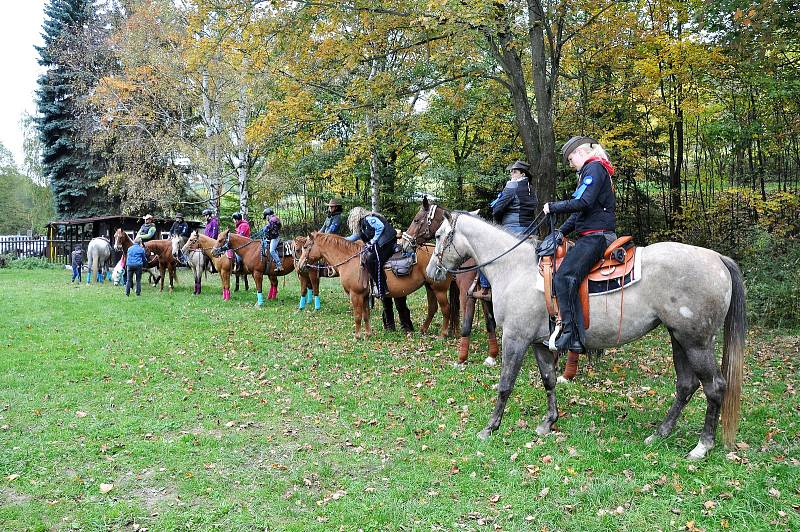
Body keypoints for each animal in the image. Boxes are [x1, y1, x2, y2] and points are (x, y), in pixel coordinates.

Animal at [296, 231, 454, 338]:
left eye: (306, 247)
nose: (300, 265)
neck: (350, 260)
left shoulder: (355, 295)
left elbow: (357, 315)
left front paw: (357, 336)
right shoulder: (365, 295)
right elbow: (366, 315)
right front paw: (368, 334)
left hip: (439, 289)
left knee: (446, 309)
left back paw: (443, 334)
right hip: (429, 287)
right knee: (432, 308)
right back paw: (423, 330)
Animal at [428, 210, 748, 460]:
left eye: (441, 234)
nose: (432, 271)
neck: (515, 269)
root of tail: (717, 259)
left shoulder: (516, 339)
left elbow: (505, 385)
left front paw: (490, 427)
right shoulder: (539, 343)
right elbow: (548, 380)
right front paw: (548, 422)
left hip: (697, 342)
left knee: (714, 387)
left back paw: (702, 446)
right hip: (678, 337)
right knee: (686, 385)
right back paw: (660, 433)